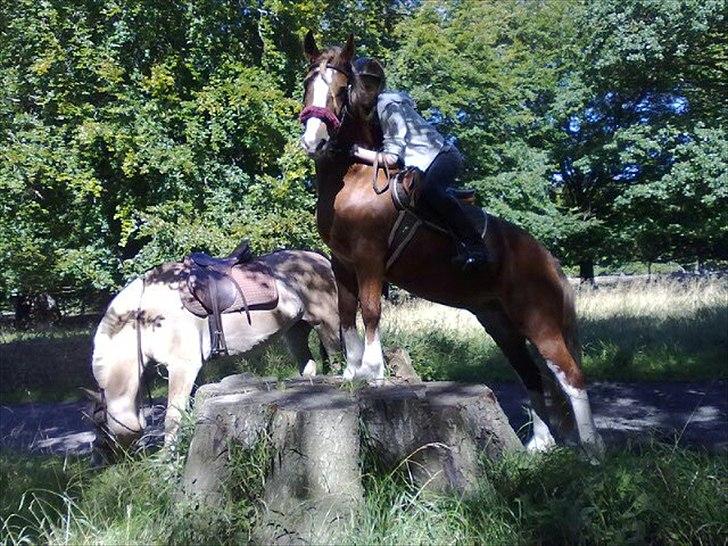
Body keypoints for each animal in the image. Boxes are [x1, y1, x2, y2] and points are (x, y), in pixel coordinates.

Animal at [84, 250, 338, 460]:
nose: (98, 459)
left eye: (99, 422)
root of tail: (320, 259)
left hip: (327, 324)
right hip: (296, 332)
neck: (145, 315)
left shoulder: (183, 367)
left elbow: (172, 418)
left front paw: (167, 463)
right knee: (308, 367)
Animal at [296, 31, 604, 452]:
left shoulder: (369, 258)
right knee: (533, 378)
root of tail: (546, 258)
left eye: (342, 90)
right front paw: (351, 372)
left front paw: (374, 373)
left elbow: (371, 310)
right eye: (308, 83)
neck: (357, 179)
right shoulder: (341, 262)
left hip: (538, 321)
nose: (315, 140)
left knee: (570, 376)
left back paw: (592, 450)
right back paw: (538, 446)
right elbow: (345, 313)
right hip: (502, 325)